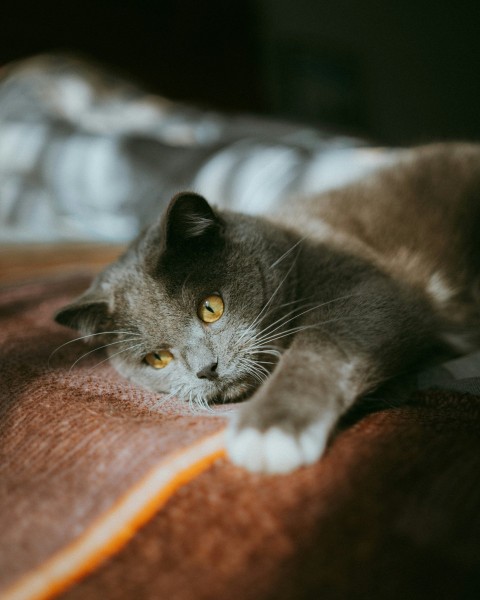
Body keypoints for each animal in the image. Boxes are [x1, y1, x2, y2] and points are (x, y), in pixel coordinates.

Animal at [54, 142, 480, 474]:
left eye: (211, 307)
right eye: (157, 359)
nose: (206, 369)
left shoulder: (373, 286)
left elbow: (324, 343)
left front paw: (271, 431)